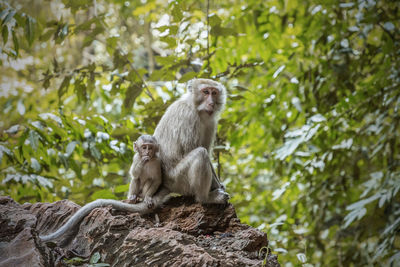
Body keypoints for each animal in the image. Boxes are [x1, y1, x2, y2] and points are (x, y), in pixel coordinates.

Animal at [41, 78, 230, 243]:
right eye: (205, 92)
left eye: (214, 92)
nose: (211, 102)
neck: (196, 108)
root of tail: (166, 184)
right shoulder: (189, 117)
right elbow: (195, 149)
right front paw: (214, 189)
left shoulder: (210, 122)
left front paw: (219, 184)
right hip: (179, 179)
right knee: (200, 154)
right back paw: (205, 198)